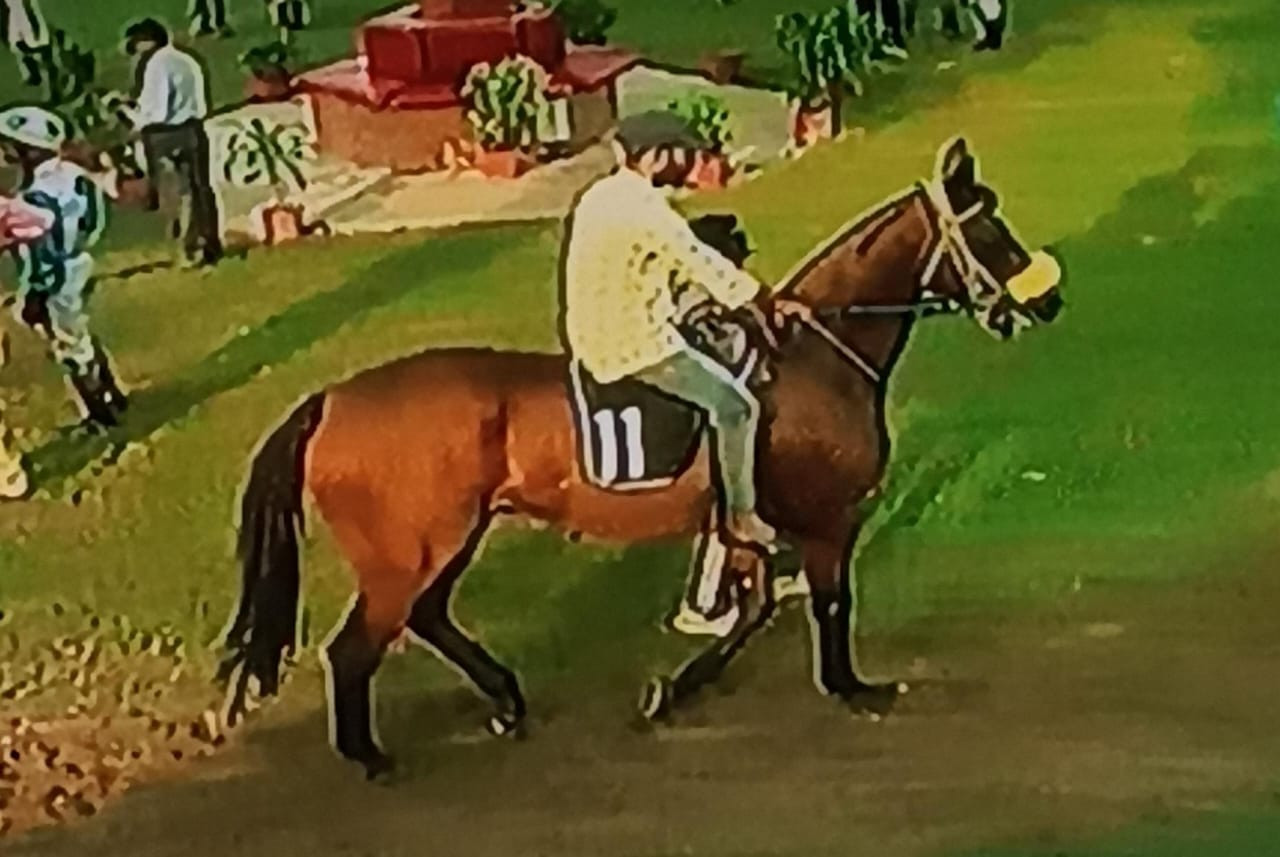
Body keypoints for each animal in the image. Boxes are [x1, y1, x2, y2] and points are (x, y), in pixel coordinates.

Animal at [220, 137, 1064, 779]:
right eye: (991, 230)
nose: (1048, 300)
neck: (814, 357)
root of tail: (331, 398)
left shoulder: (745, 524)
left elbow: (753, 609)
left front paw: (674, 690)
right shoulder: (828, 520)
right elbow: (829, 603)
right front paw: (851, 686)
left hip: (449, 539)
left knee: (425, 617)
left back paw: (506, 701)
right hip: (409, 550)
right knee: (355, 648)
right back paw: (371, 754)